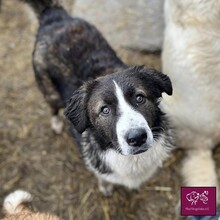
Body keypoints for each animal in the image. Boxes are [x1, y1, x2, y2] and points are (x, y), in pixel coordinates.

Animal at [21, 0, 174, 195]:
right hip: (49, 90)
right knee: (53, 107)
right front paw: (105, 186)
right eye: (105, 110)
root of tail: (54, 16)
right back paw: (56, 123)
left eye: (140, 98)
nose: (137, 137)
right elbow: (103, 177)